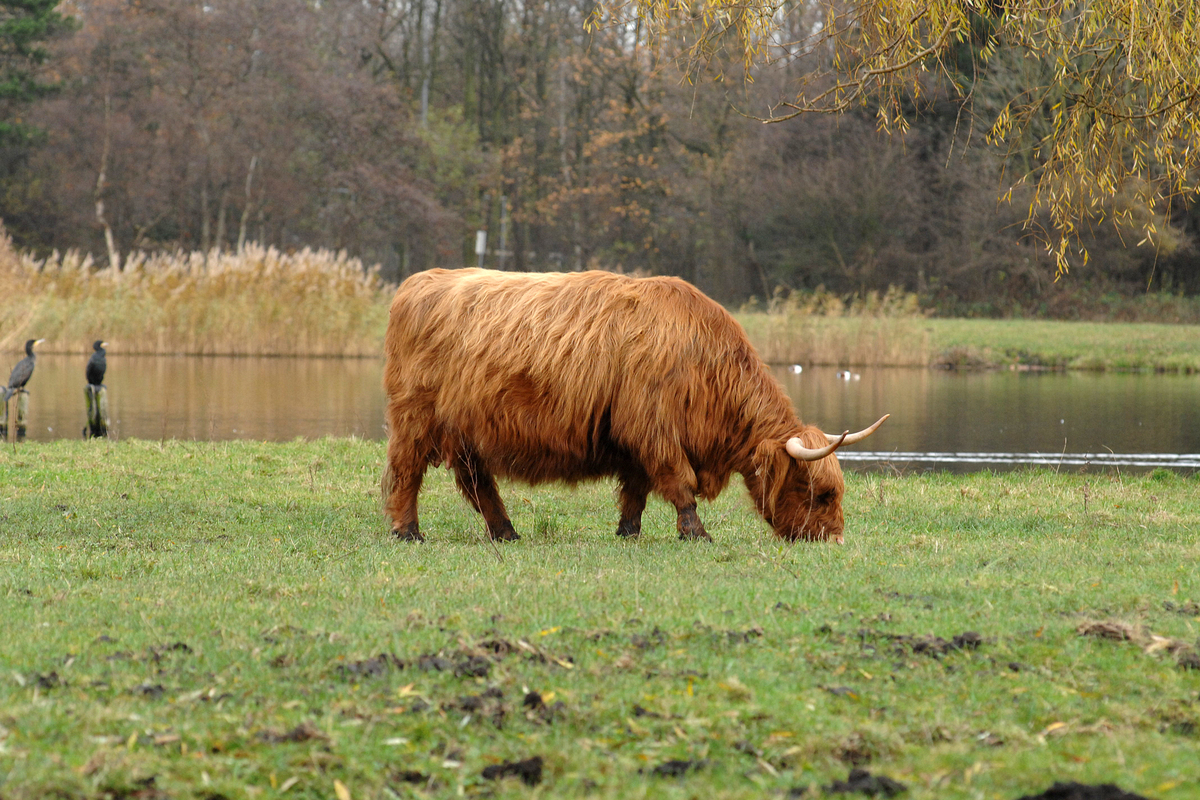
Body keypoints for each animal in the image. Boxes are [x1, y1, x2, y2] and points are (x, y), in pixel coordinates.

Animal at [379, 268, 888, 544]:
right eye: (821, 493)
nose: (835, 539)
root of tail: (420, 281)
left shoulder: (637, 440)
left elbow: (637, 490)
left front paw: (629, 531)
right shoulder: (654, 428)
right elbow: (678, 483)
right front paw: (696, 533)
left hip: (468, 429)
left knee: (477, 480)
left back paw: (506, 531)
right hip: (415, 416)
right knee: (406, 472)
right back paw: (408, 531)